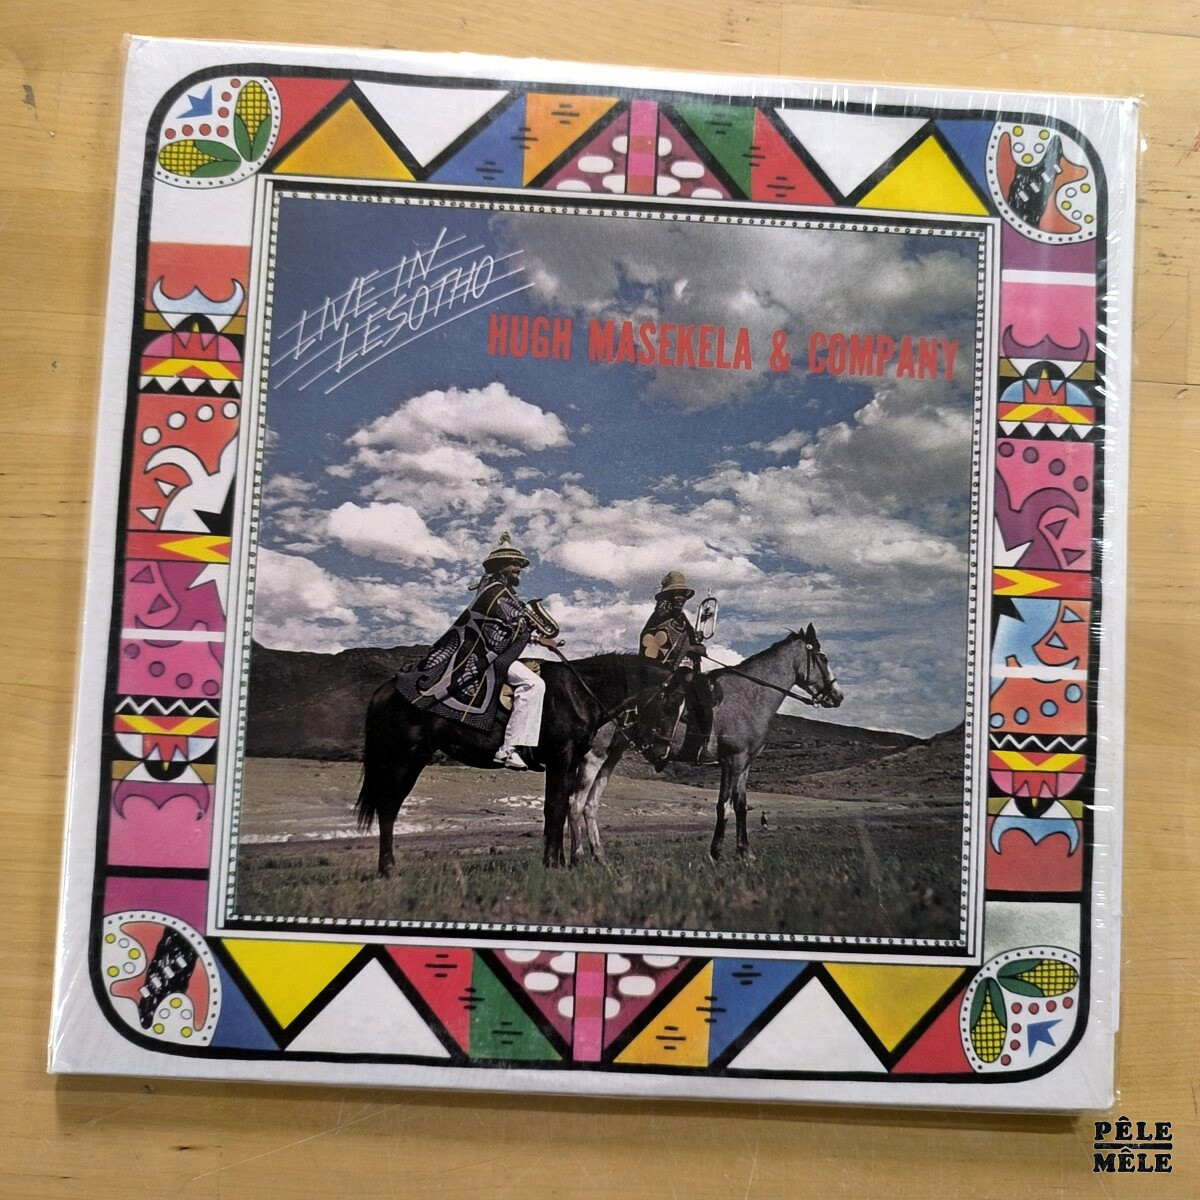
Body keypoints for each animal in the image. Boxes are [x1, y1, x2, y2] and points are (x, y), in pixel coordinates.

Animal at [355, 653, 675, 875]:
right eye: (671, 706)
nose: (662, 755)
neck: (579, 693)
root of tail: (386, 689)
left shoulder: (570, 761)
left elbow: (559, 807)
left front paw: (558, 860)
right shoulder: (561, 757)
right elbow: (555, 807)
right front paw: (553, 862)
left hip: (414, 758)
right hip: (401, 759)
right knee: (388, 808)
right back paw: (388, 869)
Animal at [558, 624, 843, 865]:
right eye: (823, 657)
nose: (838, 696)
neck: (749, 695)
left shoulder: (744, 764)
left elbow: (740, 805)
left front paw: (745, 852)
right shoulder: (732, 760)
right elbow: (724, 806)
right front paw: (717, 852)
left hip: (612, 754)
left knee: (590, 804)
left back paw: (599, 857)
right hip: (594, 754)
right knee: (575, 802)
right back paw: (577, 857)